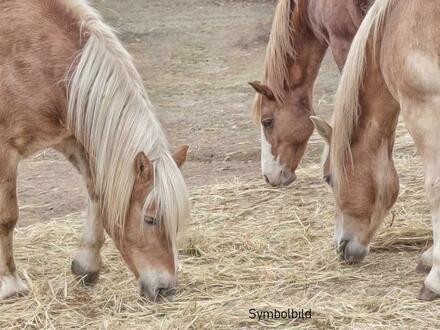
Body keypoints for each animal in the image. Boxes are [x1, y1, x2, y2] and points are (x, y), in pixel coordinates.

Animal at [0, 0, 191, 300]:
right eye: (150, 219)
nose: (165, 289)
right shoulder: (6, 152)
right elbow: (8, 216)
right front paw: (9, 283)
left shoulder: (71, 140)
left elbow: (97, 193)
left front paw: (87, 265)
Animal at [312, 0, 440, 300]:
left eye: (328, 178)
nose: (342, 247)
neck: (395, 24)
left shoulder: (426, 109)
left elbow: (435, 191)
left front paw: (435, 279)